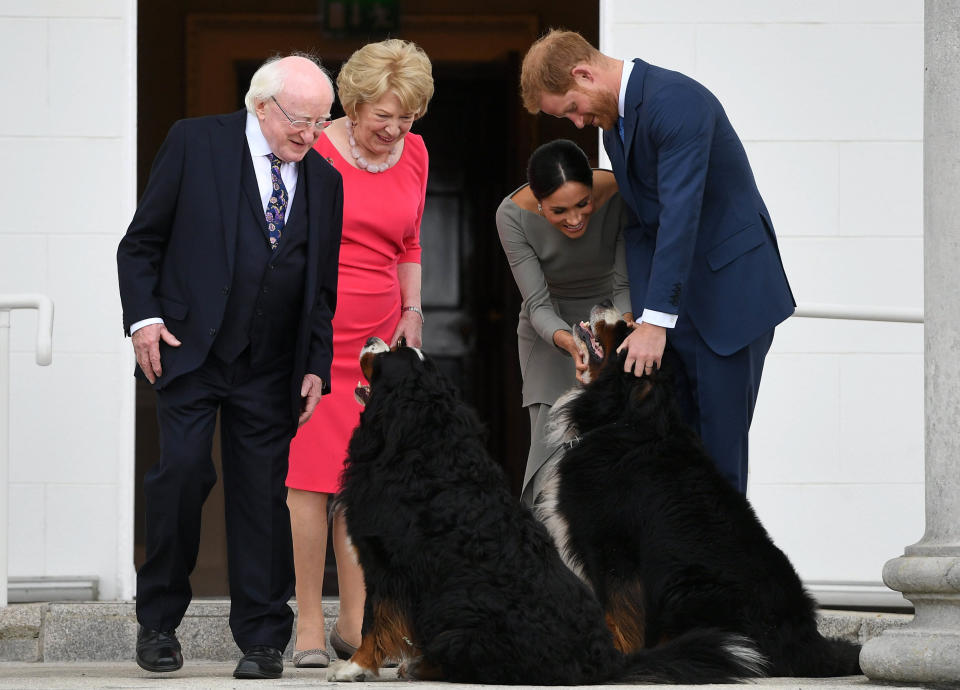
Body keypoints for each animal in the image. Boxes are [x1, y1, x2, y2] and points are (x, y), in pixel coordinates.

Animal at [326, 334, 768, 684]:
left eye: (392, 351)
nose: (369, 339)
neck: (420, 441)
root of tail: (607, 661)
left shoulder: (385, 560)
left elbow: (374, 618)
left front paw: (354, 667)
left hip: (458, 613)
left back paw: (423, 666)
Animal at [540, 298, 864, 676]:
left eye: (626, 331)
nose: (607, 302)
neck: (624, 418)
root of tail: (806, 641)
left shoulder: (611, 547)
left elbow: (617, 613)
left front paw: (619, 659)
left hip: (687, 587)